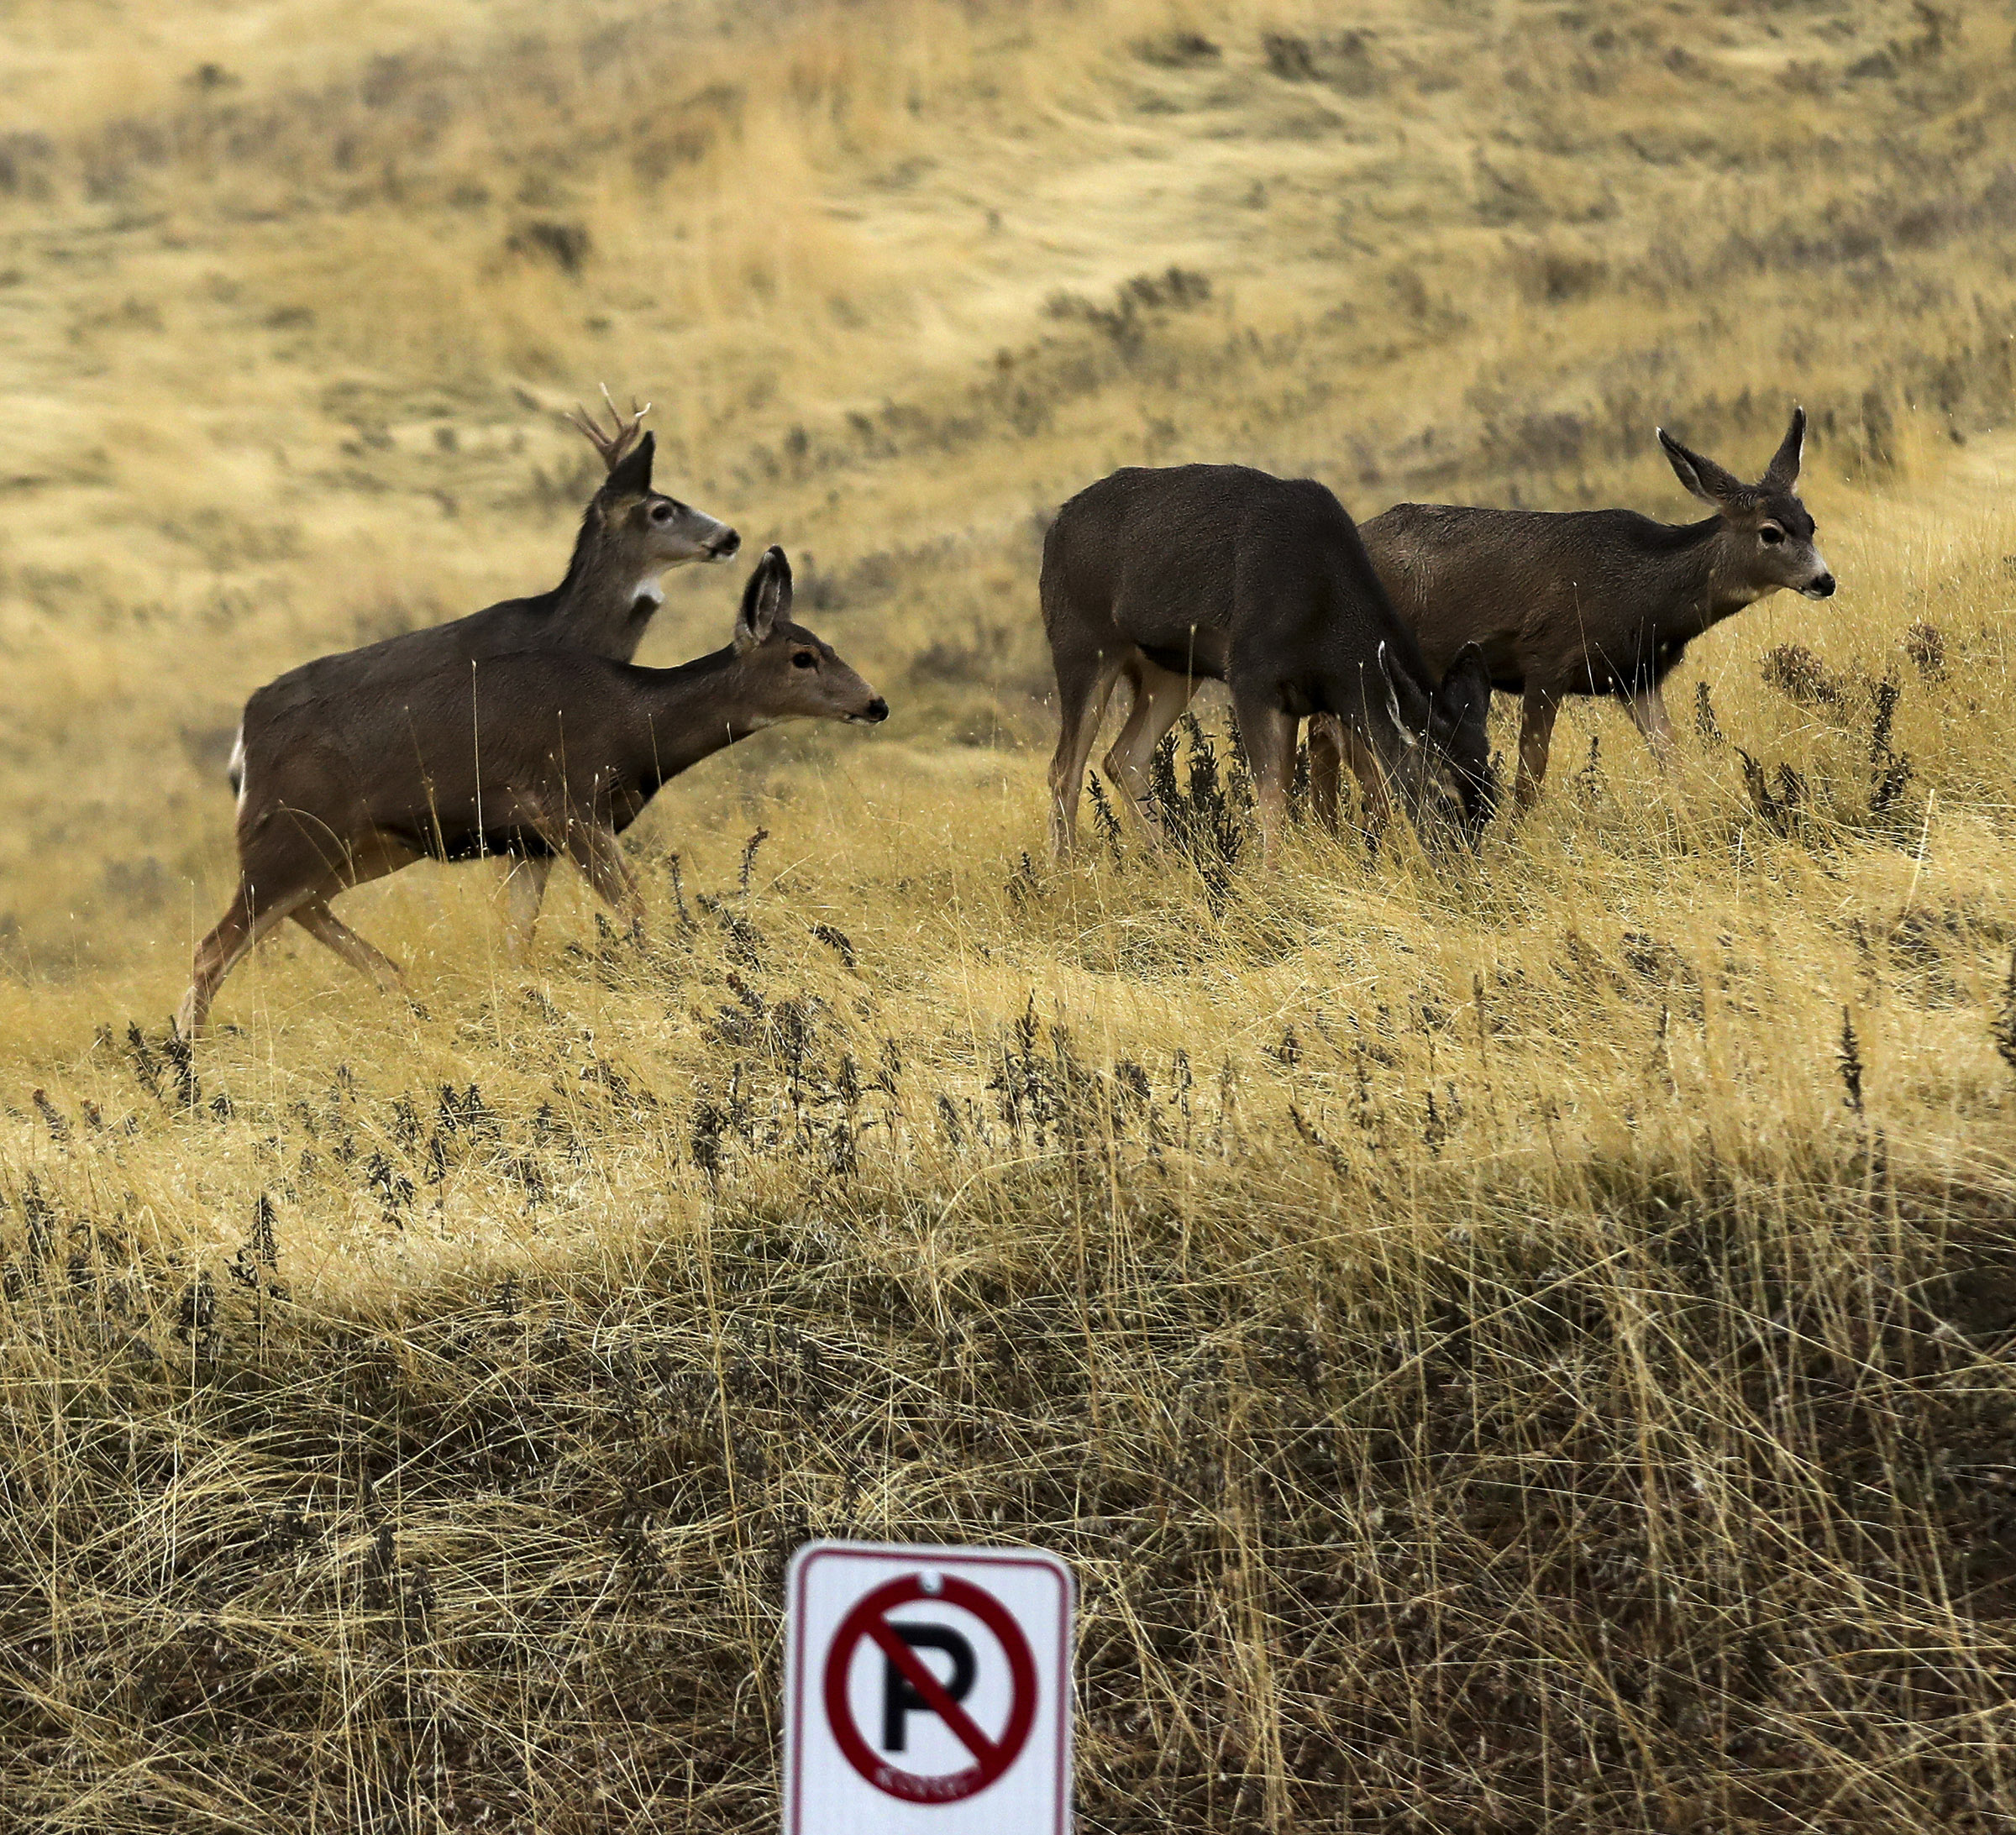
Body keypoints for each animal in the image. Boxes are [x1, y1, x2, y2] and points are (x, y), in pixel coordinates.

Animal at [178, 547, 887, 1037]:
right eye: (802, 657)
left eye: (828, 644)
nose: (875, 703)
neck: (636, 723)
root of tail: (246, 747)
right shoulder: (566, 803)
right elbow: (634, 908)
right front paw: (660, 979)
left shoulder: (529, 841)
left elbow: (519, 941)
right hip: (291, 833)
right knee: (214, 947)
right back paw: (189, 1068)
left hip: (367, 847)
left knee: (301, 910)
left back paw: (402, 989)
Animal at [1041, 463, 1495, 868]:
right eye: (1443, 795)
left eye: (1490, 800)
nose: (1463, 877)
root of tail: (1055, 527)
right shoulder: (1251, 677)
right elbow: (1274, 793)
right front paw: (1273, 879)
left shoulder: (1320, 698)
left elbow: (1364, 783)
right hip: (1081, 641)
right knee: (1064, 768)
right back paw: (1066, 875)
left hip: (1171, 669)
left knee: (1123, 758)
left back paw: (1171, 867)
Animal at [1312, 406, 1836, 811]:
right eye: (1771, 532)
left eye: (1810, 523)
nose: (1824, 581)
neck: (1643, 596)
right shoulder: (1547, 656)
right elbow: (1530, 773)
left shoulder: (1636, 676)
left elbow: (1671, 759)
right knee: (1339, 736)